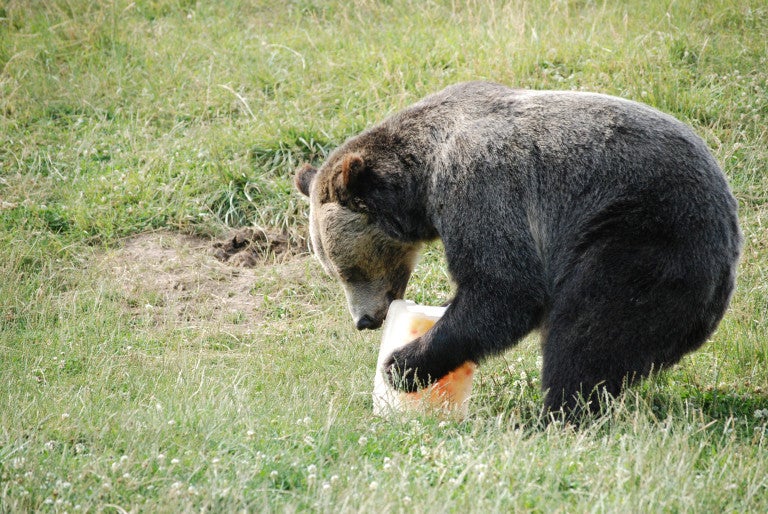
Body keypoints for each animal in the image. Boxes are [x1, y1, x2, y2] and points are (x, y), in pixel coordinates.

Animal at [292, 81, 736, 416]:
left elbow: (505, 289)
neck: (422, 176)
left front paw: (403, 365)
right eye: (333, 270)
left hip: (643, 236)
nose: (364, 320)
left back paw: (558, 414)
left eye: (347, 270)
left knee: (590, 328)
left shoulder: (480, 182)